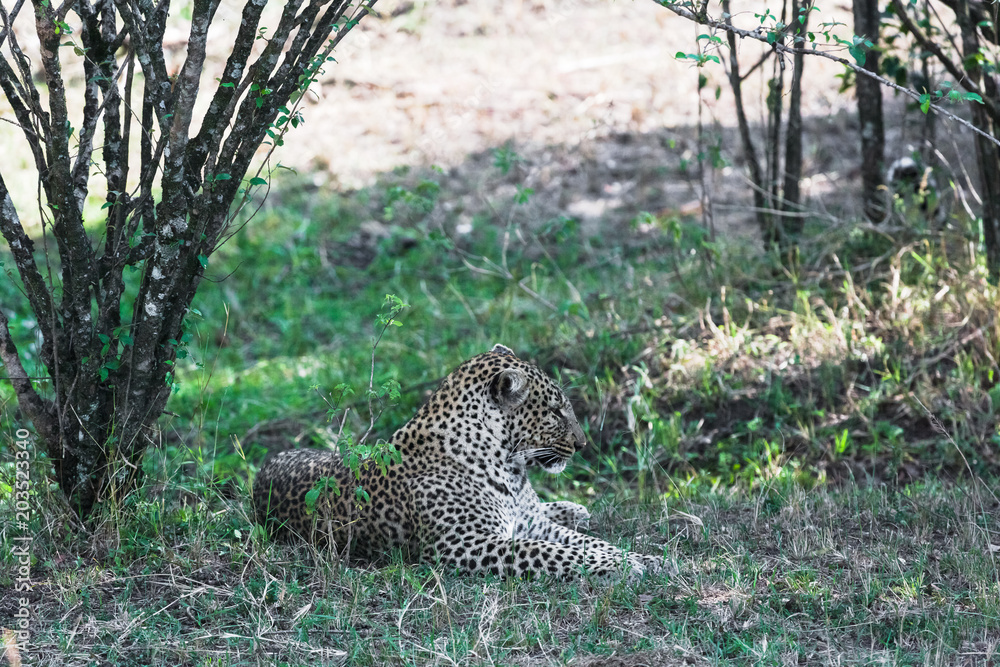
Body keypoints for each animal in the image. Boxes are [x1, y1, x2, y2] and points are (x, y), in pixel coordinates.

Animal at [253, 344, 664, 579]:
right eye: (554, 412)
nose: (582, 444)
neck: (512, 471)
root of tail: (267, 464)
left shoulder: (532, 524)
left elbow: (584, 542)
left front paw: (643, 558)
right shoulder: (464, 544)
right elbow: (553, 552)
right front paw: (624, 566)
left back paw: (574, 508)